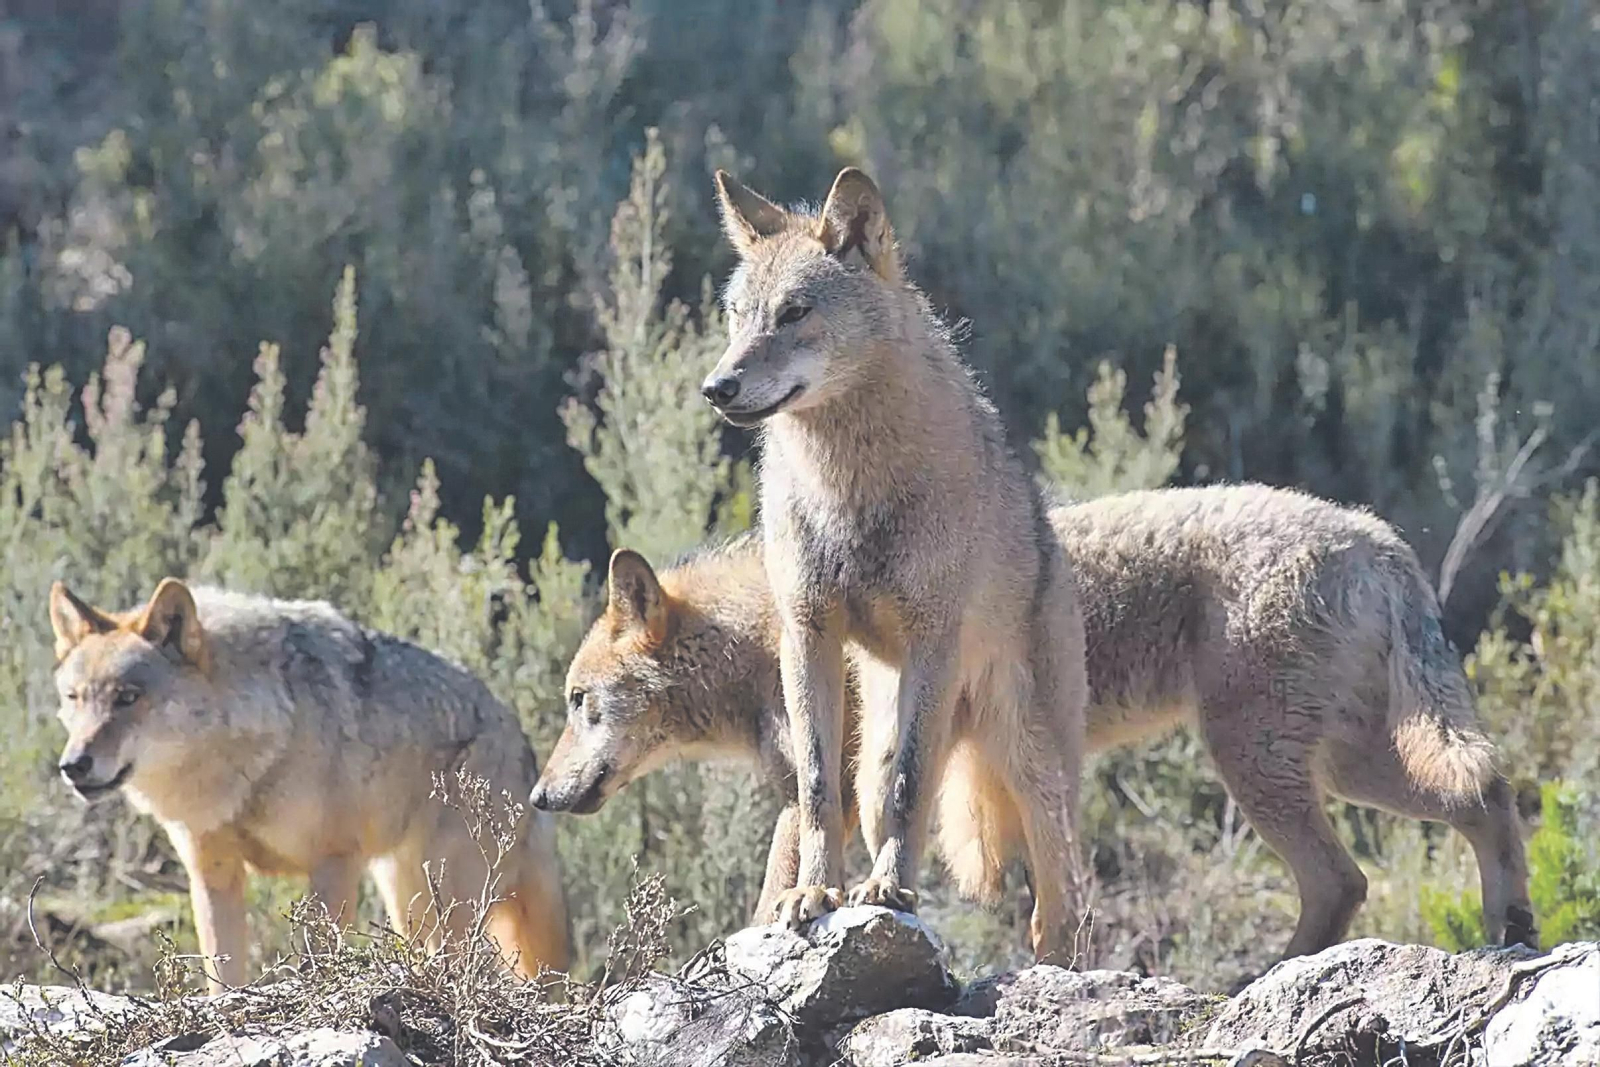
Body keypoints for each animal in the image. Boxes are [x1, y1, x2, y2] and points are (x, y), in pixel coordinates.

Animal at [49, 578, 569, 993]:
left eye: (128, 698)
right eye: (74, 699)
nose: (73, 765)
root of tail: (523, 745)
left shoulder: (334, 864)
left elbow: (320, 961)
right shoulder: (213, 875)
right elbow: (223, 975)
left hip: (448, 903)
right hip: (409, 902)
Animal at [534, 485, 1536, 965]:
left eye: (580, 704)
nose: (540, 795)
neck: (767, 634)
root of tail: (1380, 539)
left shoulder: (841, 789)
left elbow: (782, 889)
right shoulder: (831, 792)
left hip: (1263, 765)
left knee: (1346, 875)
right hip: (1346, 765)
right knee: (1483, 796)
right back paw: (1512, 927)